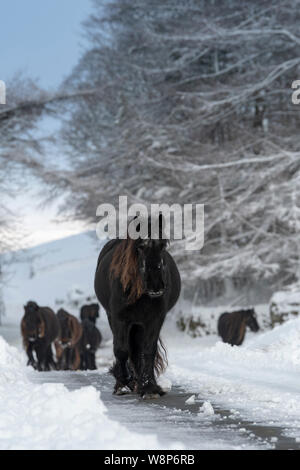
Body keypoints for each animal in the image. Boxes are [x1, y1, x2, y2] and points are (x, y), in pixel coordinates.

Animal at [95, 216, 182, 396]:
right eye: (141, 246)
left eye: (163, 245)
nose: (156, 286)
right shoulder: (119, 318)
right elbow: (121, 351)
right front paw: (123, 382)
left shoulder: (154, 319)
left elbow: (148, 350)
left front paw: (149, 387)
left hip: (139, 324)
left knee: (138, 350)